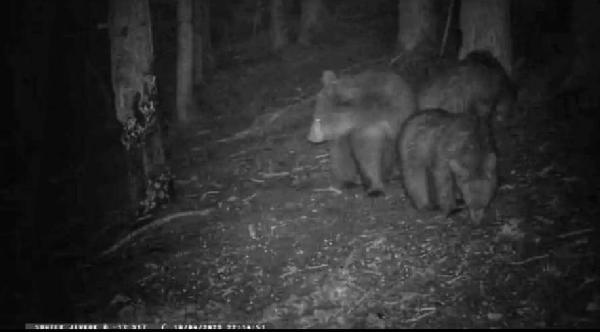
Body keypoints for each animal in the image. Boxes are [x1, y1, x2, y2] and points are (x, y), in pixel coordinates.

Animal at [308, 68, 414, 196]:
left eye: (319, 119)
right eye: (315, 116)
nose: (311, 137)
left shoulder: (393, 118)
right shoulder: (357, 132)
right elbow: (365, 156)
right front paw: (374, 187)